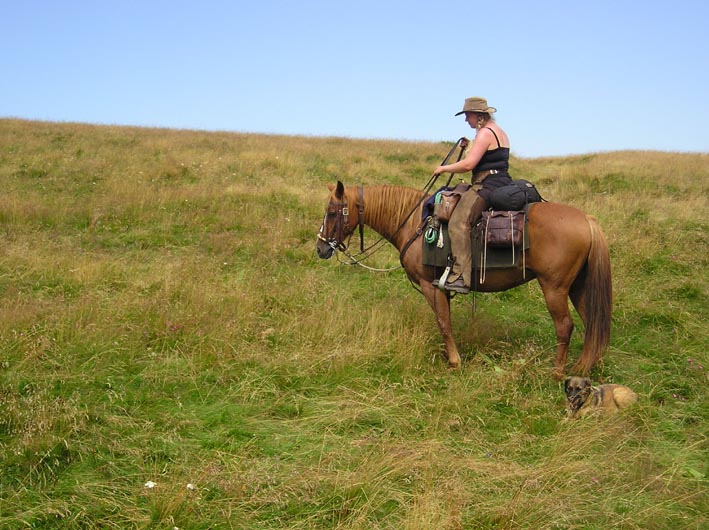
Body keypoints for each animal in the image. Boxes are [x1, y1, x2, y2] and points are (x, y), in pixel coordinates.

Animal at [314, 179, 608, 378]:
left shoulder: (429, 286)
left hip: (554, 287)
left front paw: (454, 362)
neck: (413, 223)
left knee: (565, 326)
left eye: (332, 212)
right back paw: (584, 367)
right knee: (592, 322)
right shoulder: (441, 287)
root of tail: (588, 219)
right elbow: (448, 321)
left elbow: (443, 323)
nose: (320, 248)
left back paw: (557, 372)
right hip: (578, 287)